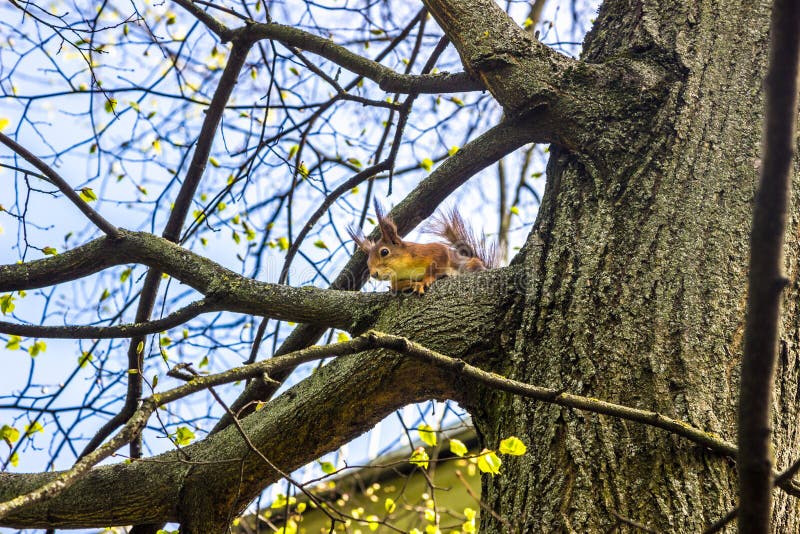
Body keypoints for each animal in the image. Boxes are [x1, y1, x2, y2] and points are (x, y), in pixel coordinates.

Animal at [348, 200, 497, 294]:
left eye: (384, 252)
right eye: (367, 262)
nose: (374, 274)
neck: (403, 267)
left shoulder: (433, 250)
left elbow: (435, 265)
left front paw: (424, 281)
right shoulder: (396, 278)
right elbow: (396, 286)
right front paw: (410, 284)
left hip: (469, 265)